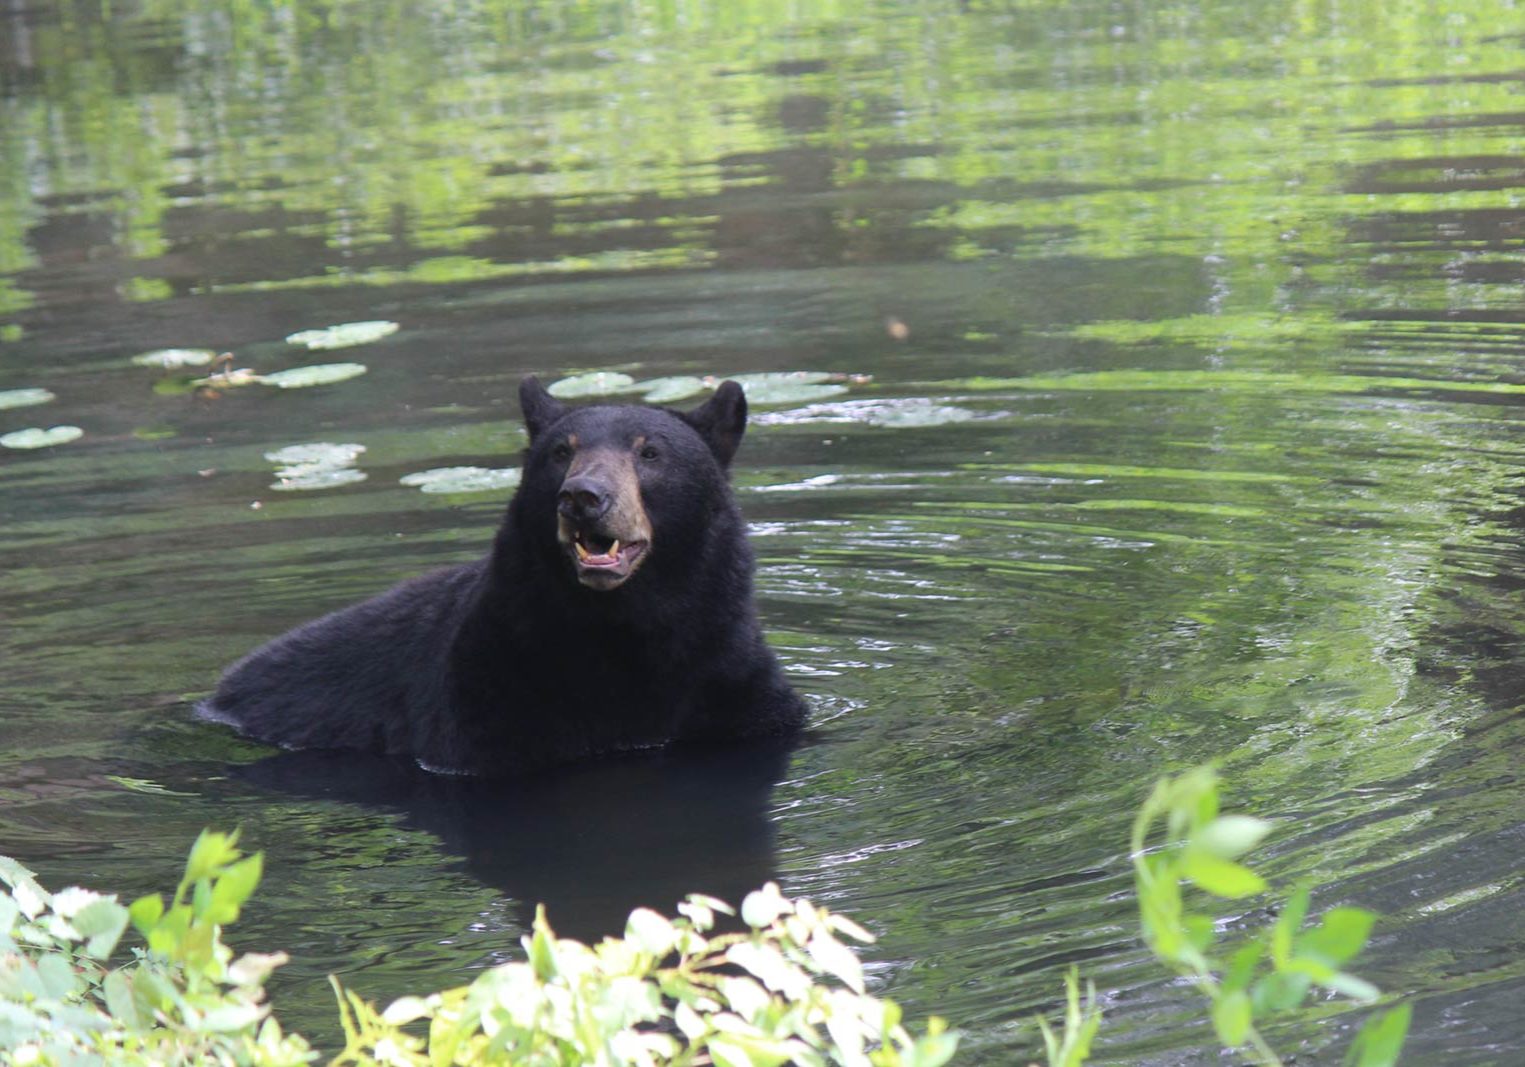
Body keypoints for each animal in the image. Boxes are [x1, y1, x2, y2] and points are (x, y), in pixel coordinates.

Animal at [199, 376, 807, 776]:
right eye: (560, 452)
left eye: (650, 452)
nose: (583, 497)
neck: (624, 630)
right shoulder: (493, 694)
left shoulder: (728, 675)